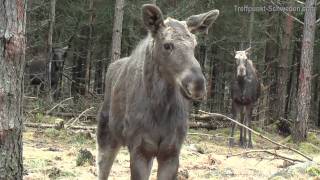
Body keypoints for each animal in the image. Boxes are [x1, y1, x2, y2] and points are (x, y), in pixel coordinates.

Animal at [96, 4, 219, 180]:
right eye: (167, 45)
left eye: (194, 45)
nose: (198, 84)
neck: (160, 108)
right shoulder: (139, 148)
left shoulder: (171, 151)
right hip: (106, 134)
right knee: (102, 167)